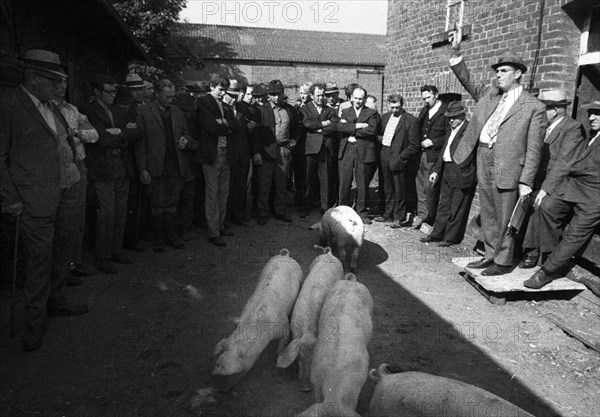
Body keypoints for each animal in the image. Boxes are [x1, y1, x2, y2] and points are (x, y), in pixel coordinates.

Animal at [212, 249, 304, 392]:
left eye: (234, 373)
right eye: (216, 364)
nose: (221, 390)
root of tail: (285, 255)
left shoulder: (282, 326)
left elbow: (283, 342)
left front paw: (279, 364)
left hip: (300, 274)